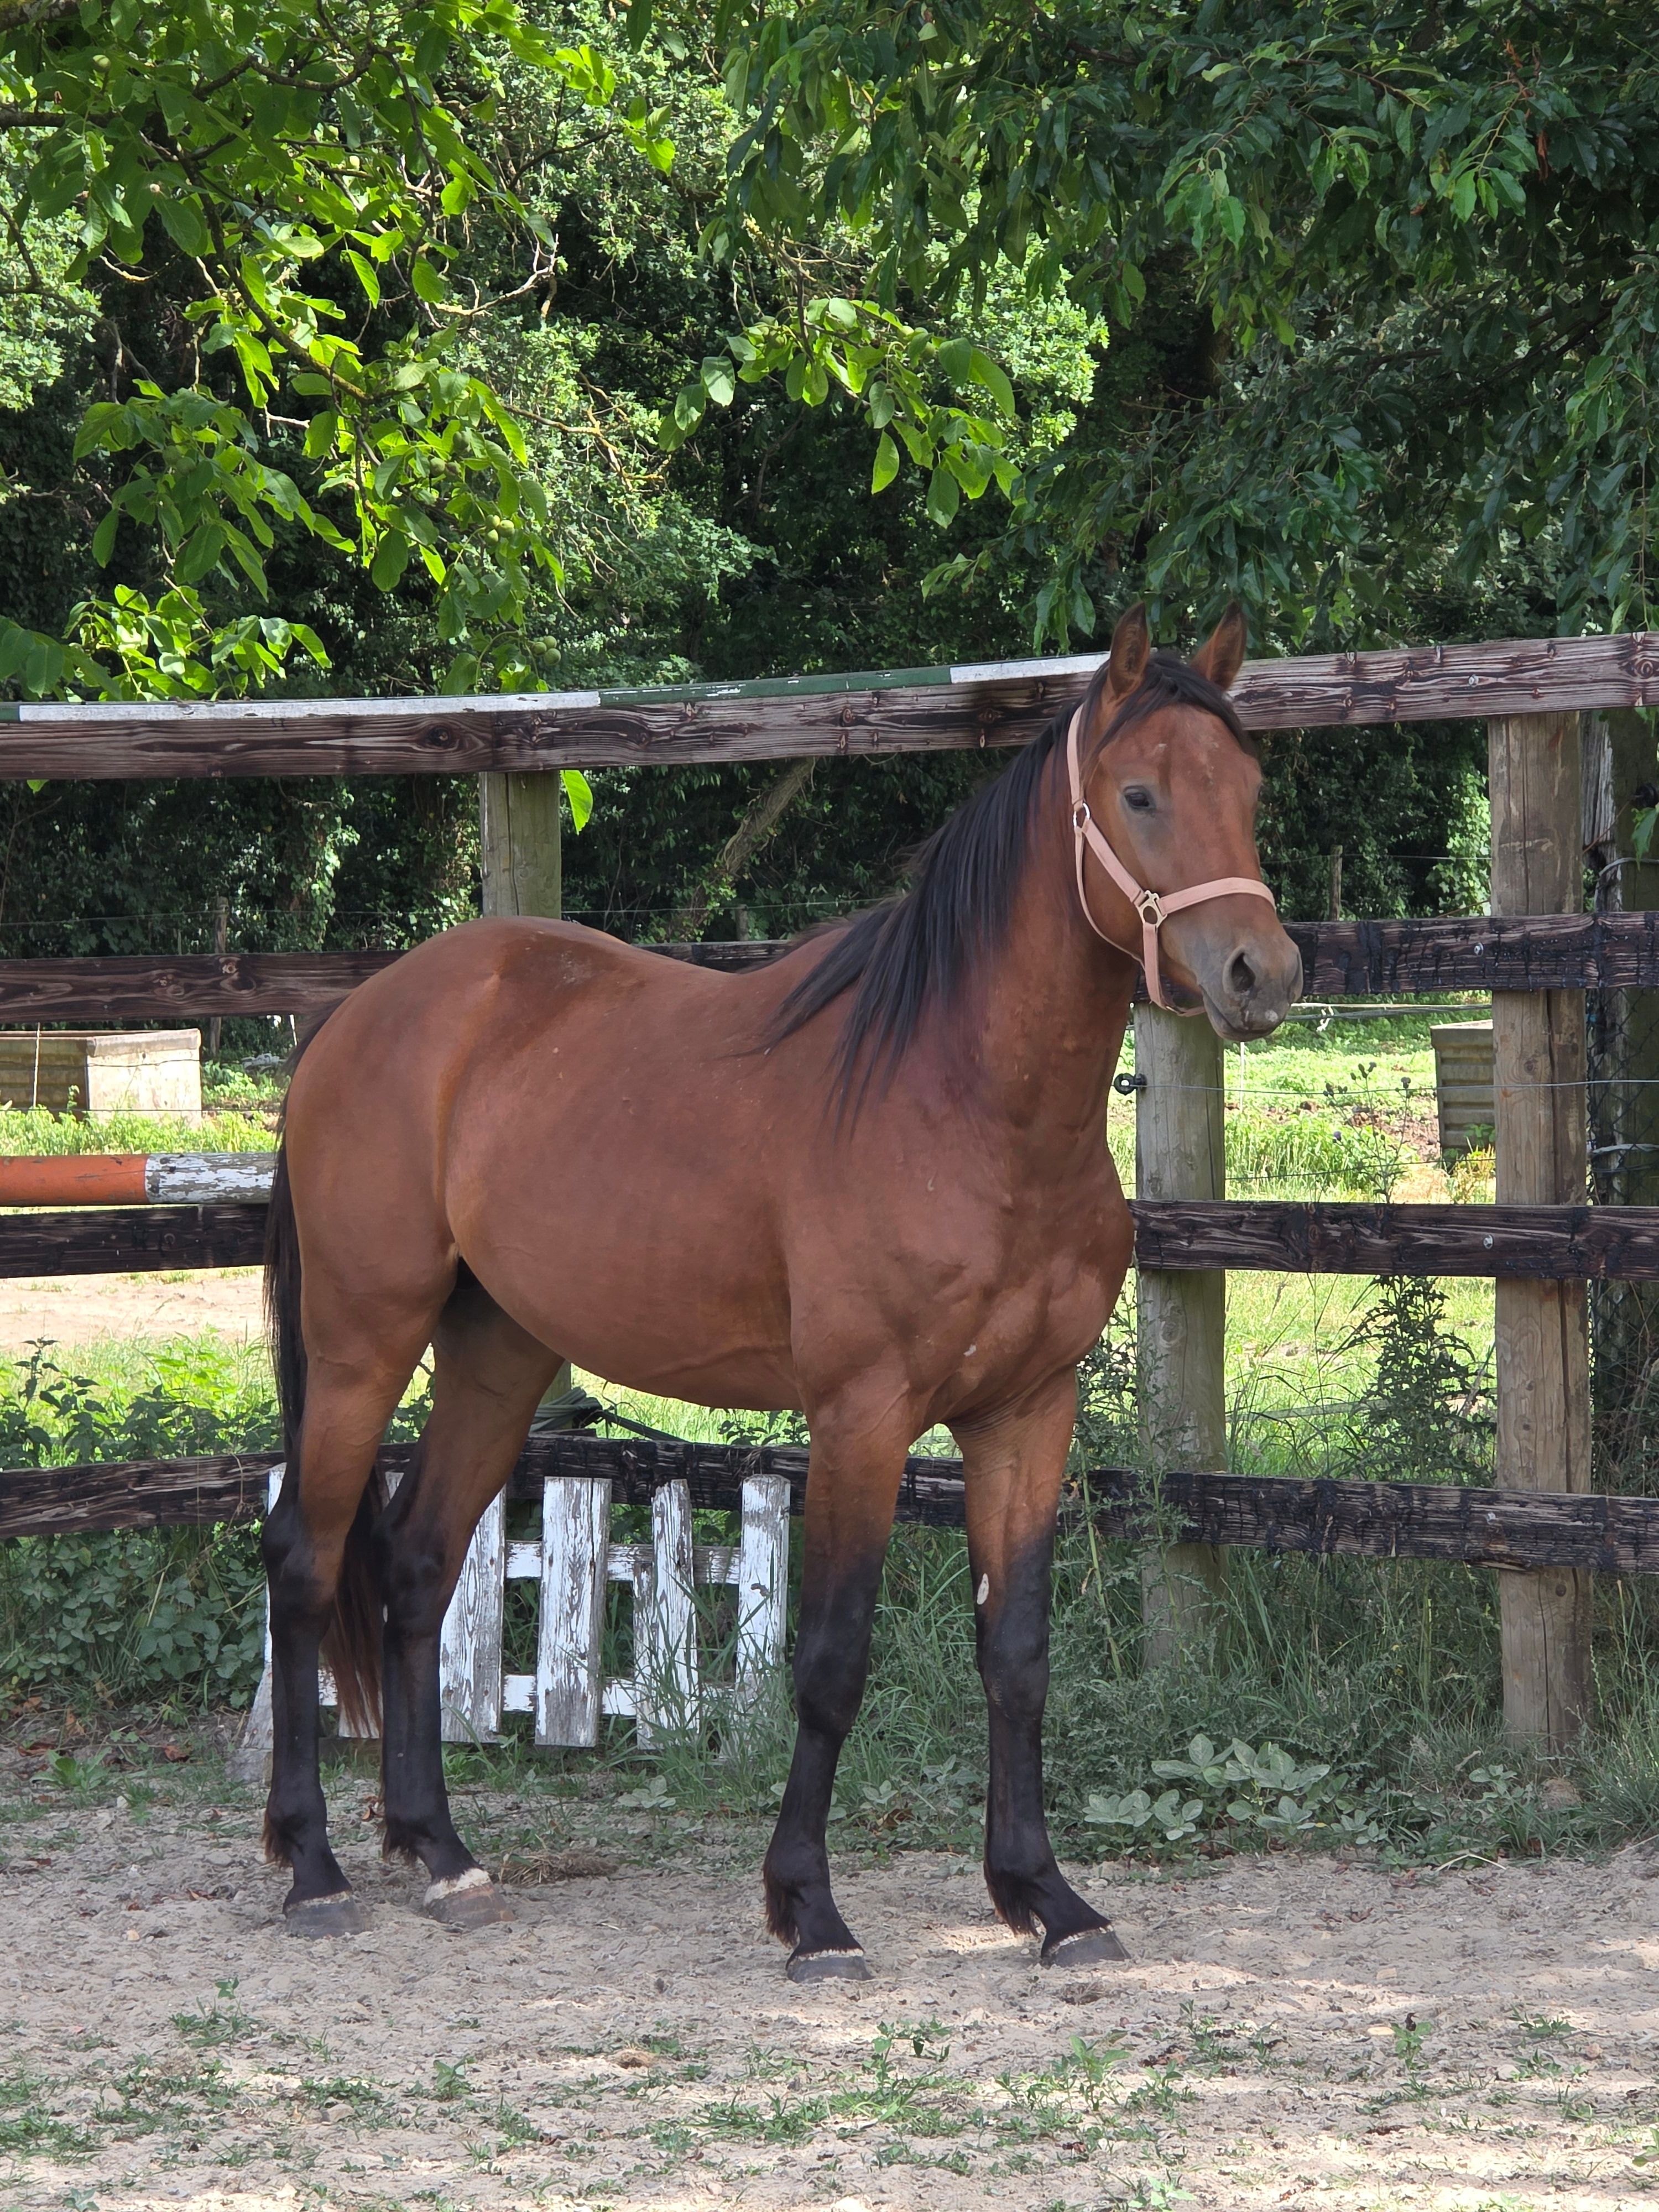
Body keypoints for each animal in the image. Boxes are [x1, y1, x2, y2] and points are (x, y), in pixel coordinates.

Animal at [258, 600, 1302, 1977]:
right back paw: (312, 1864)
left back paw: (441, 1851)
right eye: (1139, 793)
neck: (963, 1101)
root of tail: (361, 1014)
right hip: (361, 1342)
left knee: (422, 1565)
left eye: (1248, 787)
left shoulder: (1028, 1413)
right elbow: (832, 1659)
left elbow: (1017, 1654)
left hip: (500, 1352)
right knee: (305, 1558)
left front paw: (1043, 1894)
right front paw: (809, 1906)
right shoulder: (862, 1416)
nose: (1260, 972)